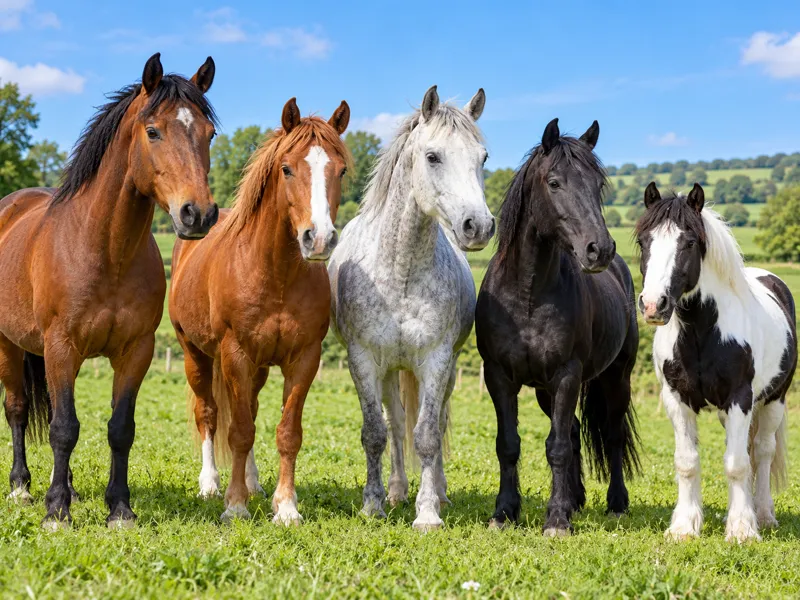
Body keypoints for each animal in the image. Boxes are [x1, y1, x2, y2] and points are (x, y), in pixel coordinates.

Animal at [0, 53, 219, 529]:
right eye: (153, 131)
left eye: (209, 134)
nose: (198, 214)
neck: (104, 250)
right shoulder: (61, 346)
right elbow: (64, 428)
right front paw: (56, 511)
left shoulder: (135, 351)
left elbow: (120, 428)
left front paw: (119, 508)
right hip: (9, 346)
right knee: (18, 409)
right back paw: (23, 488)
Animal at [169, 98, 351, 524]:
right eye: (287, 168)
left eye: (341, 169)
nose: (319, 238)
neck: (275, 273)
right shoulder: (235, 354)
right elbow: (237, 431)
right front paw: (234, 505)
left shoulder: (304, 358)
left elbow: (287, 432)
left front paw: (285, 506)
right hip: (195, 355)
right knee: (209, 414)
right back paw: (211, 485)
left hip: (259, 368)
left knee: (248, 408)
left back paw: (253, 483)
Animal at [328, 86, 494, 531]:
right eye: (432, 156)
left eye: (483, 158)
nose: (479, 226)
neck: (399, 272)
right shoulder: (363, 359)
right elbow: (375, 433)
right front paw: (373, 504)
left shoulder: (437, 359)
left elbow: (428, 434)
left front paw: (428, 511)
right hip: (389, 372)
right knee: (395, 423)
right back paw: (397, 490)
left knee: (431, 421)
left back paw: (438, 491)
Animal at [474, 119, 641, 536]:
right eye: (554, 182)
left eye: (597, 185)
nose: (600, 249)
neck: (528, 295)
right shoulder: (499, 376)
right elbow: (509, 444)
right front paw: (504, 512)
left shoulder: (567, 374)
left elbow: (558, 447)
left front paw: (556, 520)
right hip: (545, 390)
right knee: (576, 430)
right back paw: (575, 499)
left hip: (616, 377)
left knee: (611, 435)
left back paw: (615, 503)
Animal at [636, 182, 796, 542]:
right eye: (643, 241)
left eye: (689, 242)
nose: (653, 305)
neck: (703, 332)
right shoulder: (677, 399)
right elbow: (687, 461)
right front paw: (684, 527)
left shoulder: (740, 398)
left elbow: (737, 463)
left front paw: (742, 530)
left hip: (773, 401)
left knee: (761, 452)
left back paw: (762, 515)